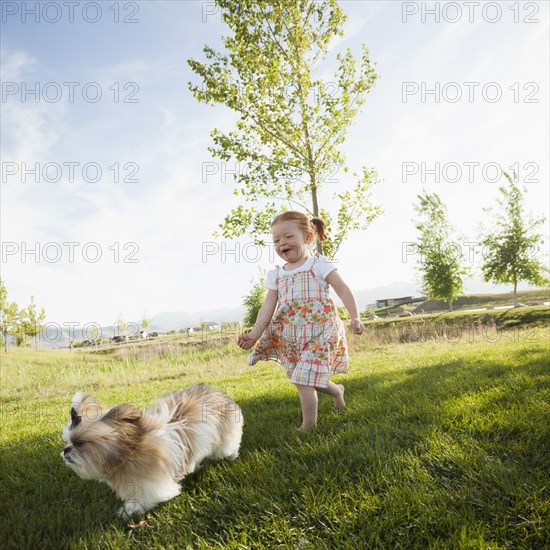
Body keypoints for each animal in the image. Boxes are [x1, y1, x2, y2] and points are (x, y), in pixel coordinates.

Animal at [61, 386, 244, 520]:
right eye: (67, 442)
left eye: (79, 443)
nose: (65, 450)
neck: (129, 453)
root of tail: (218, 393)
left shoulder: (151, 482)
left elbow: (146, 497)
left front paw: (130, 511)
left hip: (225, 437)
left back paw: (232, 455)